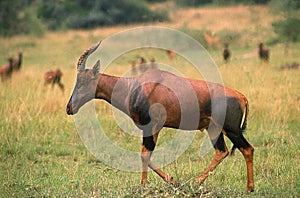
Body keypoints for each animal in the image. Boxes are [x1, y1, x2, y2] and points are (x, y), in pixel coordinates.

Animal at [67, 41, 254, 193]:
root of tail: (242, 97)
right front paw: (160, 182)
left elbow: (144, 154)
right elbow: (146, 155)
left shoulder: (150, 126)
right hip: (214, 129)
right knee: (222, 151)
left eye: (83, 81)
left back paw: (246, 188)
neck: (134, 87)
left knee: (247, 149)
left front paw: (158, 183)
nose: (69, 108)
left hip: (231, 129)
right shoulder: (155, 128)